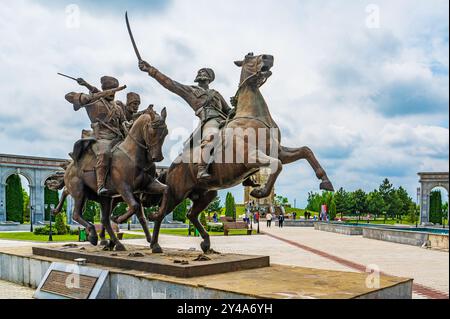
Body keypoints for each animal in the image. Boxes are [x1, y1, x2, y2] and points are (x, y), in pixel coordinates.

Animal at [148, 54, 334, 255]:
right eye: (249, 57)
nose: (269, 57)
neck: (252, 117)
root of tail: (171, 166)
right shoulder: (250, 156)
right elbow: (277, 165)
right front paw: (259, 191)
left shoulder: (278, 151)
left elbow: (305, 151)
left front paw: (325, 181)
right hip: (177, 193)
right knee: (160, 214)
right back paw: (155, 245)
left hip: (206, 193)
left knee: (191, 214)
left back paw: (205, 243)